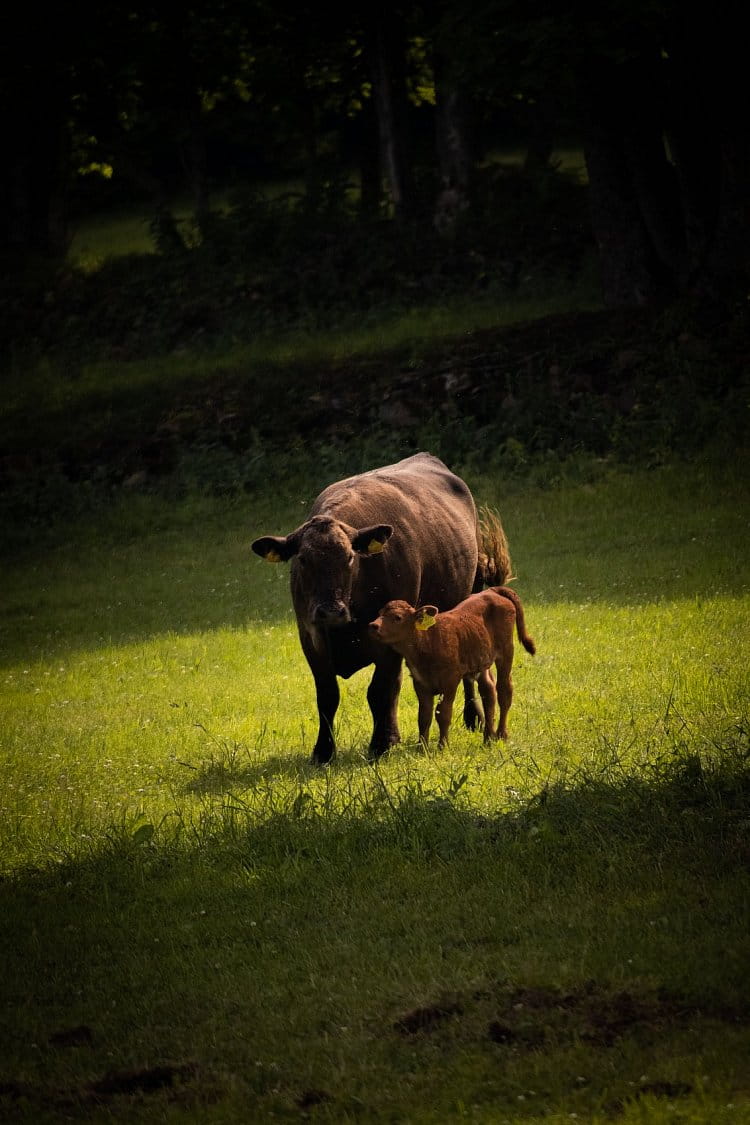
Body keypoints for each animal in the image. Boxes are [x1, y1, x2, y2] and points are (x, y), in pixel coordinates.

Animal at [251, 450, 510, 765]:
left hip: (469, 594)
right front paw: (323, 751)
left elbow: (379, 691)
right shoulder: (311, 637)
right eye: (302, 560)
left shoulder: (388, 640)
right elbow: (327, 695)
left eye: (350, 557)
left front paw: (380, 745)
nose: (331, 611)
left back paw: (473, 718)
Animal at [368, 589, 532, 747]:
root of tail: (492, 591)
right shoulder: (420, 681)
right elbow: (424, 715)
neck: (427, 640)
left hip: (506, 652)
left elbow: (443, 713)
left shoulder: (450, 680)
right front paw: (422, 747)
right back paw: (488, 739)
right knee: (489, 691)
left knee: (505, 690)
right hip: (482, 660)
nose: (373, 626)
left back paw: (501, 734)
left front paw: (442, 746)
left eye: (397, 617)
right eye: (380, 613)